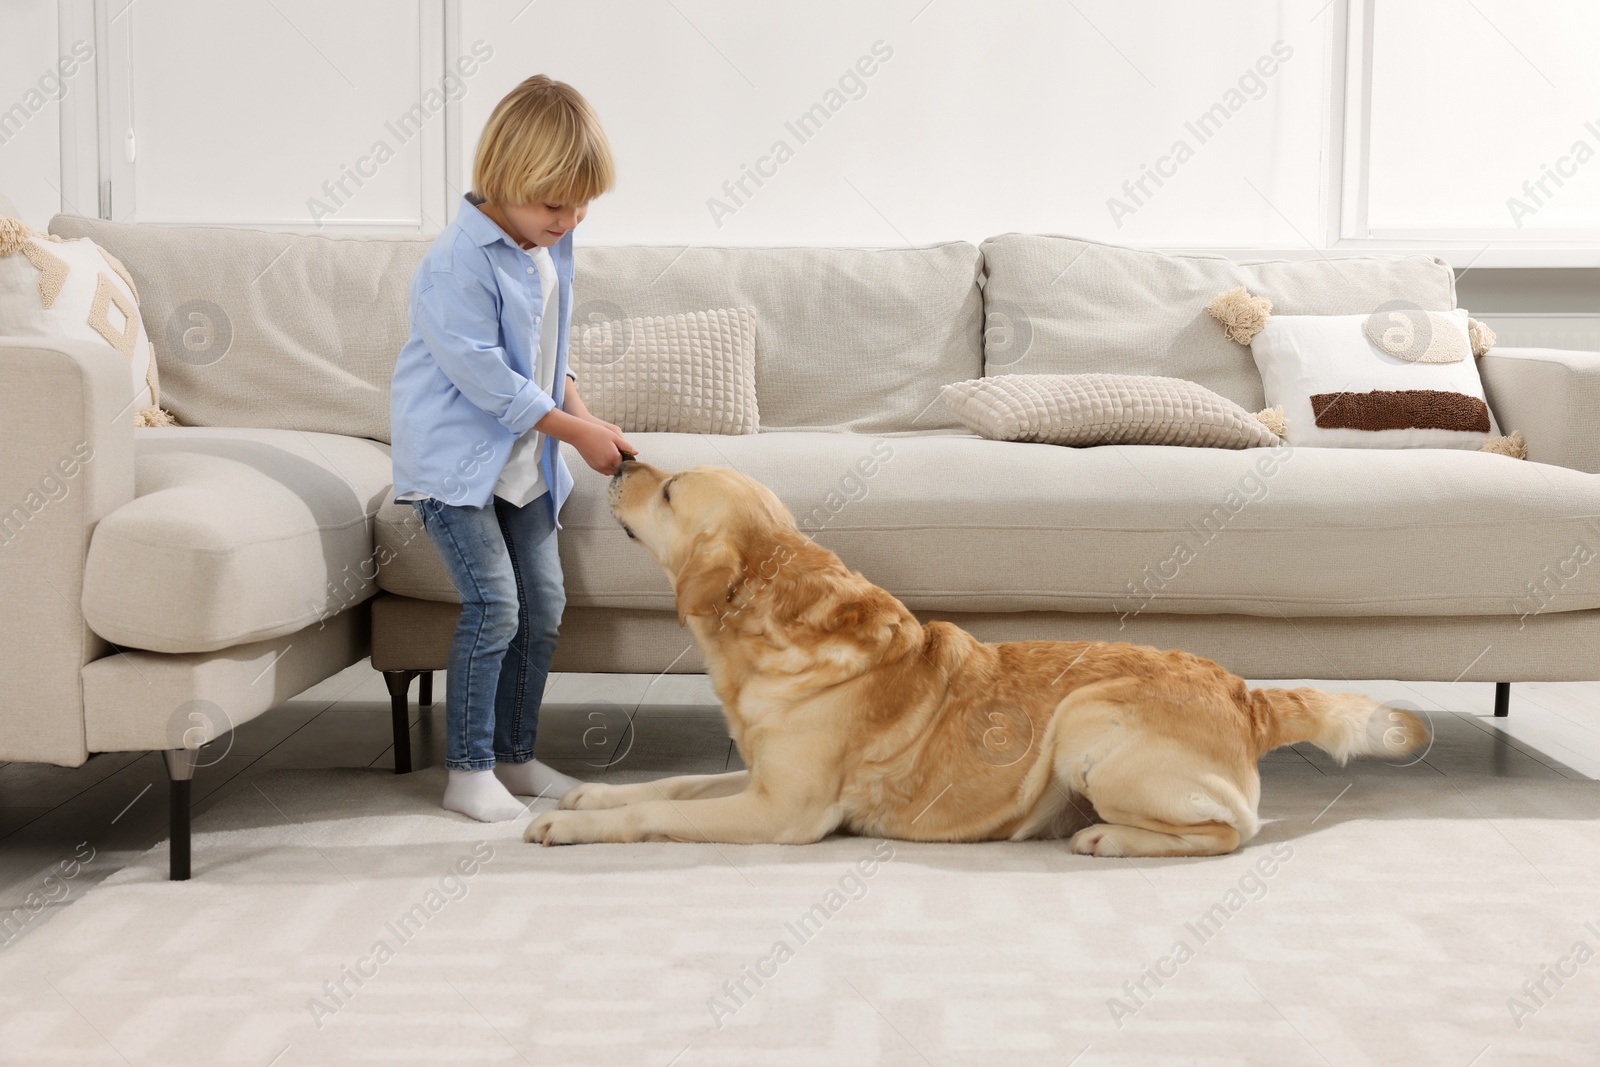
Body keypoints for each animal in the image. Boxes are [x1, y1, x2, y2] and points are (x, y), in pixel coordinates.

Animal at [524, 460, 1427, 857]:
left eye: (672, 489)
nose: (621, 457)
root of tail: (1245, 692)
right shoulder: (758, 777)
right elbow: (670, 783)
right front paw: (585, 795)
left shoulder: (782, 812)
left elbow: (654, 812)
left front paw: (570, 823)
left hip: (1084, 721)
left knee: (1228, 831)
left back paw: (1109, 839)